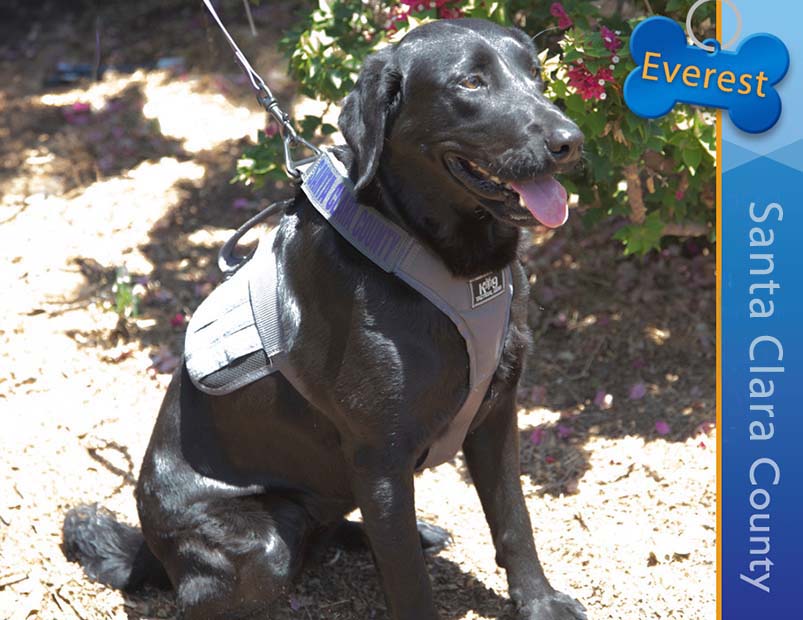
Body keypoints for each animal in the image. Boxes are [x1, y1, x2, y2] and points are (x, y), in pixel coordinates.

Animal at [64, 19, 584, 620]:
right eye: (471, 82)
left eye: (536, 74)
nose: (571, 141)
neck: (434, 257)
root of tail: (147, 549)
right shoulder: (380, 460)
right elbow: (408, 581)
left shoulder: (496, 415)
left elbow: (514, 521)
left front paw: (540, 602)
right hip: (263, 541)